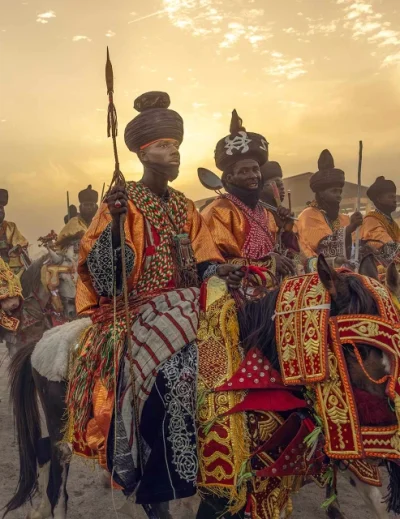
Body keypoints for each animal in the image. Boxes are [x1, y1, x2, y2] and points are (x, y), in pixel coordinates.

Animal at [3, 258, 400, 519]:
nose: (386, 445)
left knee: (44, 453)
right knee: (58, 476)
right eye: (353, 347)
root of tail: (43, 340)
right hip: (66, 430)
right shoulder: (218, 491)